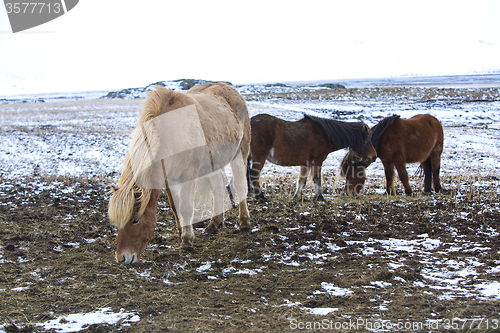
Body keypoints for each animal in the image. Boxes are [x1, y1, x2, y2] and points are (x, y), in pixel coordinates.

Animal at [108, 81, 252, 264]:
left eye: (135, 220)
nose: (122, 258)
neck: (172, 132)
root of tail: (229, 89)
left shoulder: (189, 175)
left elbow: (185, 208)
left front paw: (187, 241)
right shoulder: (168, 179)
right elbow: (175, 208)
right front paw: (180, 234)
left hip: (240, 154)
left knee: (240, 187)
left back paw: (245, 224)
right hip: (213, 164)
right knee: (219, 189)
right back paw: (214, 225)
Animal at [248, 114, 376, 201]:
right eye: (367, 140)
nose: (374, 157)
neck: (324, 134)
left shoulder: (306, 162)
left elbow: (302, 180)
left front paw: (296, 197)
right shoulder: (317, 160)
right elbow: (317, 178)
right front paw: (319, 197)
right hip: (259, 157)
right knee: (254, 175)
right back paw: (260, 197)